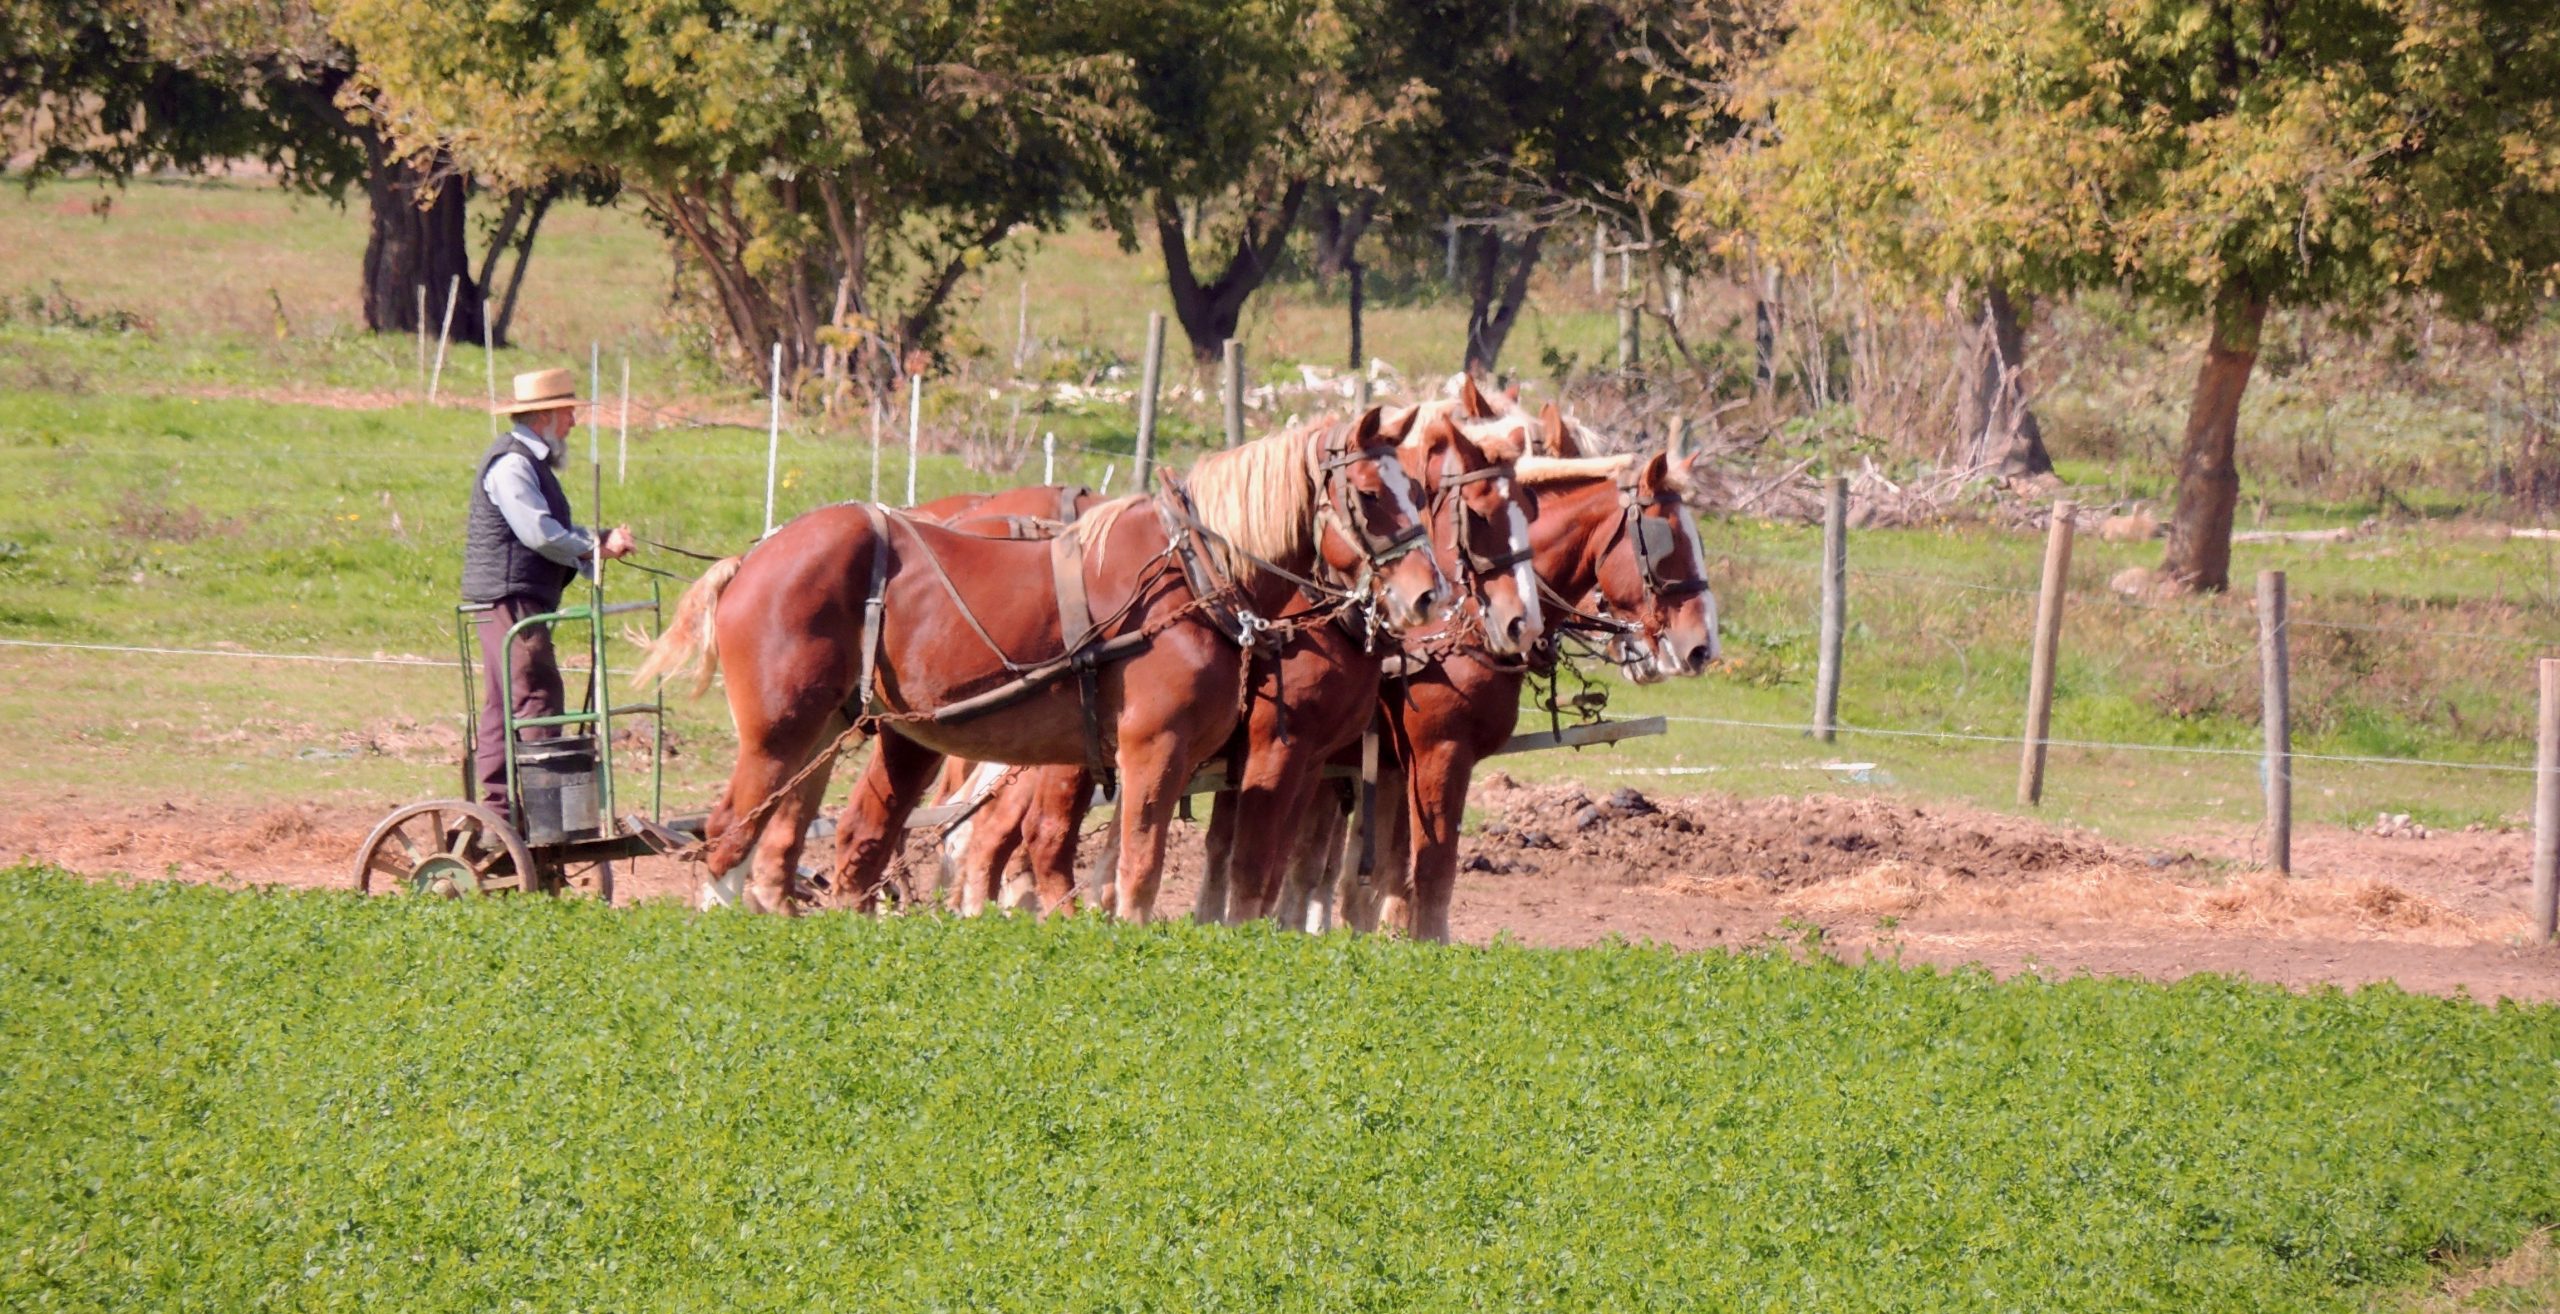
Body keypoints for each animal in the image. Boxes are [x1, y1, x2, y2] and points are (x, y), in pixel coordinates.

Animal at [633, 407, 1451, 919]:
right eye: (1371, 493)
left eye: (1421, 490)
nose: (1429, 593)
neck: (1191, 571)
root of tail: (753, 557)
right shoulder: (1159, 748)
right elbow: (1140, 870)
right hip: (778, 732)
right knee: (727, 837)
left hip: (837, 731)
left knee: (793, 844)